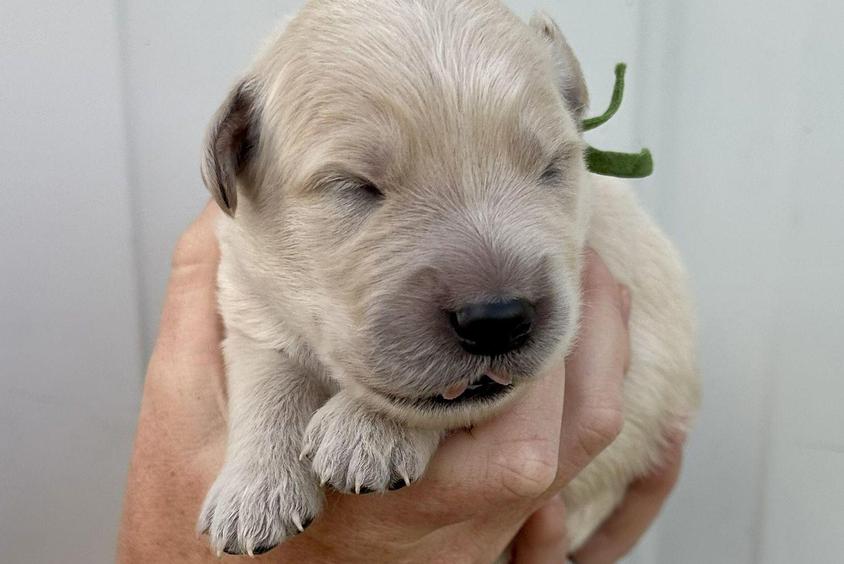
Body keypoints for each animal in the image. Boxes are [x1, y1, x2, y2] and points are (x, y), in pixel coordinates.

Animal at [196, 0, 700, 556]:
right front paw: (253, 492)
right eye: (354, 185)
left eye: (551, 167)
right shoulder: (246, 297)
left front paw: (367, 428)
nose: (498, 319)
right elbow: (267, 379)